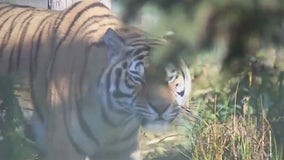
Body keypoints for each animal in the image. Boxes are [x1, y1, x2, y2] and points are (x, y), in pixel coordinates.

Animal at [0, 0, 192, 159]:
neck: (114, 119)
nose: (161, 108)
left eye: (169, 77)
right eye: (137, 77)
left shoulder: (122, 150)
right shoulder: (64, 147)